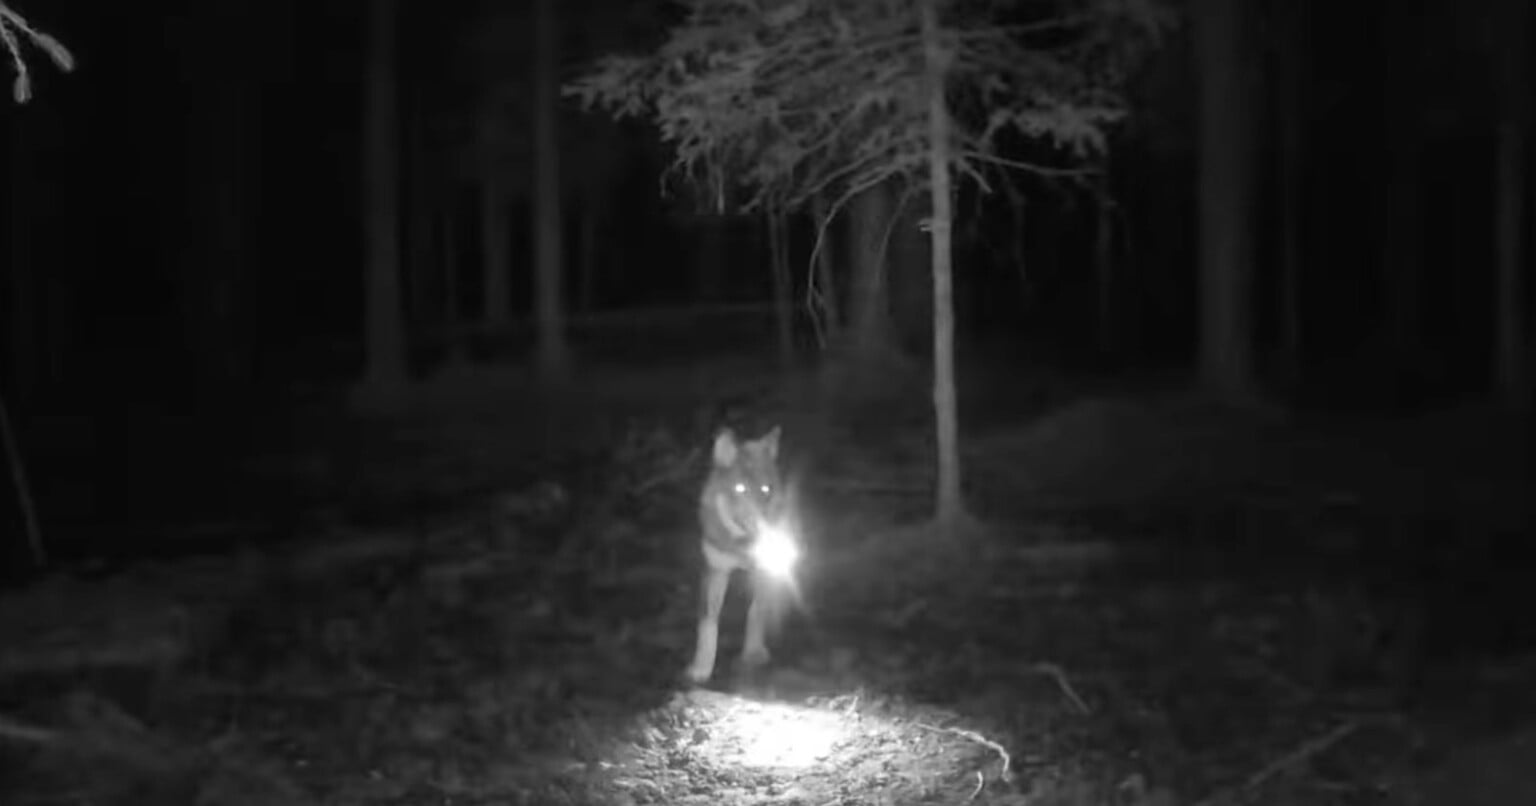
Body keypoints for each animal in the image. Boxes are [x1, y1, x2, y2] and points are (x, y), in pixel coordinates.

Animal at [685, 425, 789, 684]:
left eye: (765, 490)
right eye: (739, 488)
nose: (763, 526)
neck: (740, 546)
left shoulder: (765, 568)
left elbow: (756, 612)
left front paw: (752, 653)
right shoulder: (715, 570)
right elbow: (708, 625)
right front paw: (701, 668)